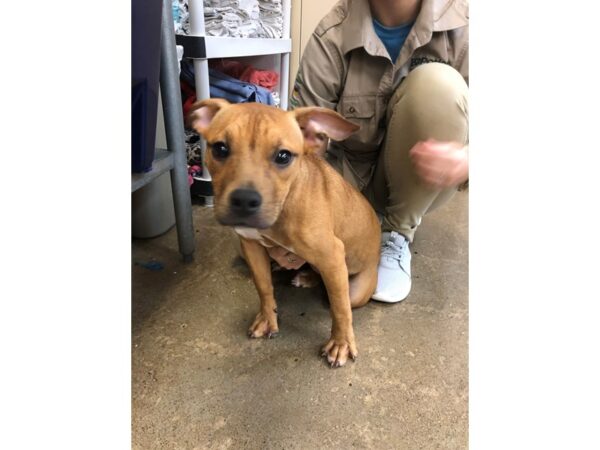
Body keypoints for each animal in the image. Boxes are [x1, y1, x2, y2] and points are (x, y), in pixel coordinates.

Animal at [189, 100, 380, 368]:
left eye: (283, 156)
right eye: (220, 148)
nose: (244, 200)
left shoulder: (332, 255)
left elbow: (341, 310)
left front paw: (341, 343)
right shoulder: (251, 246)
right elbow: (264, 287)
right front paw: (268, 318)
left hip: (356, 289)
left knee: (341, 298)